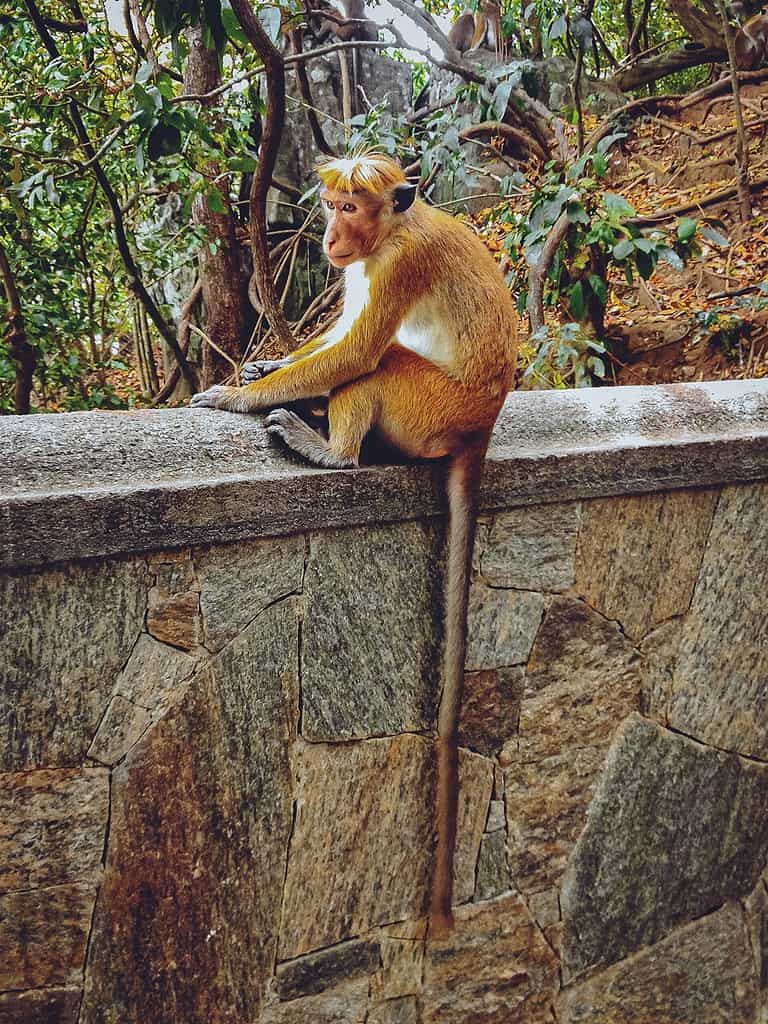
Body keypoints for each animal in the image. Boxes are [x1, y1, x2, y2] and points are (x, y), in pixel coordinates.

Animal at [190, 152, 518, 934]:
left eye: (350, 206)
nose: (330, 237)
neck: (392, 231)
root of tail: (482, 427)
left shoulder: (398, 267)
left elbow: (360, 348)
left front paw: (239, 394)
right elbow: (339, 334)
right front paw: (264, 368)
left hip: (430, 411)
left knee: (384, 362)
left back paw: (331, 450)